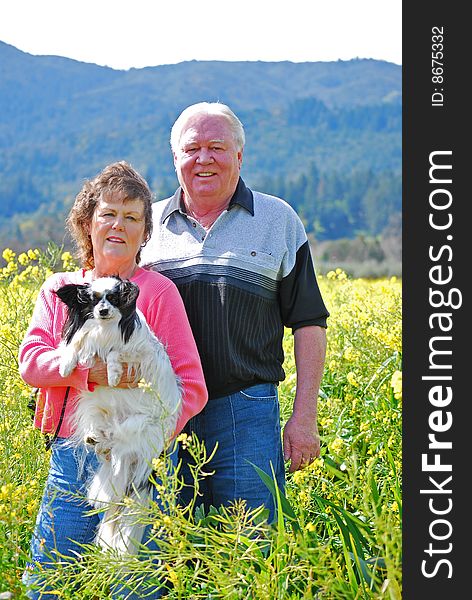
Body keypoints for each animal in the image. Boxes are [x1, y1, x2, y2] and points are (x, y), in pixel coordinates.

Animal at [54, 276, 182, 552]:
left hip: (138, 425)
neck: (105, 330)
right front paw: (67, 365)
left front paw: (112, 375)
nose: (103, 311)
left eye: (113, 299)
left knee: (118, 438)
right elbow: (75, 346)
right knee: (100, 434)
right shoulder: (84, 336)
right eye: (92, 301)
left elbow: (115, 353)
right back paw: (95, 438)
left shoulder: (135, 351)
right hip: (93, 408)